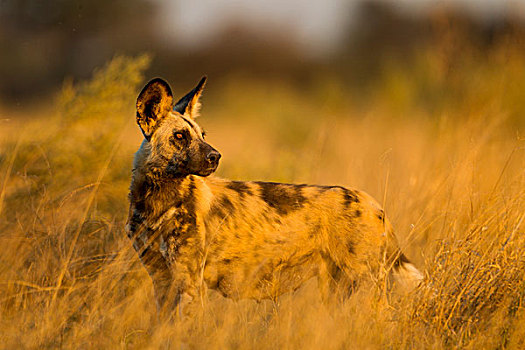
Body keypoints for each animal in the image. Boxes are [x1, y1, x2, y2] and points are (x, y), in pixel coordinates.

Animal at [125, 78, 420, 318]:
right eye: (180, 136)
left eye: (202, 135)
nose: (215, 156)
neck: (156, 201)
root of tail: (373, 204)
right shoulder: (162, 281)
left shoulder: (187, 281)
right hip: (337, 291)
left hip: (366, 285)